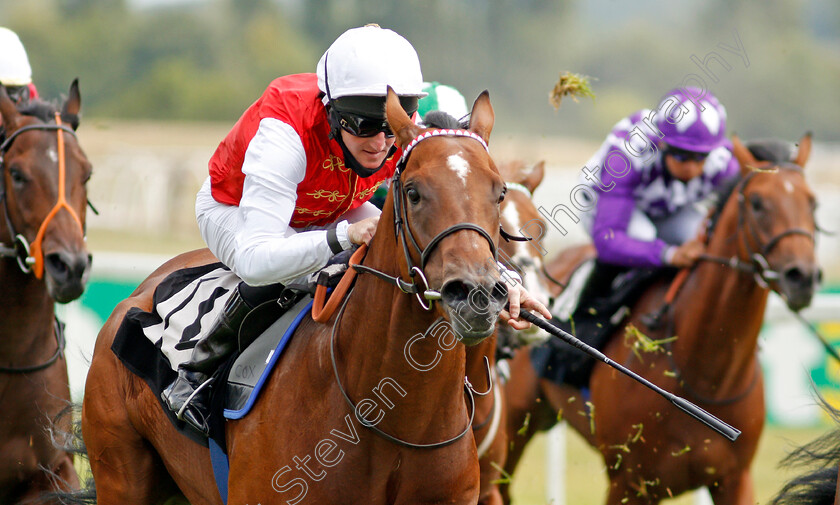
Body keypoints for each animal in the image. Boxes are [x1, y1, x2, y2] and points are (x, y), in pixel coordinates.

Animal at [502, 135, 816, 504]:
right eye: (757, 203)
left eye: (812, 203)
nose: (803, 277)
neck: (706, 376)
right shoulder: (629, 482)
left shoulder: (735, 479)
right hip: (514, 424)